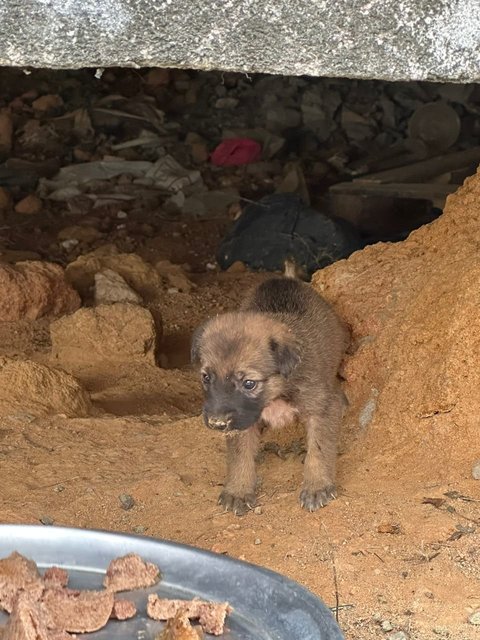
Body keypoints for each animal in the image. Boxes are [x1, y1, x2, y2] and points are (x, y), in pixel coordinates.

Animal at [191, 270, 348, 516]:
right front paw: (238, 490)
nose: (216, 423)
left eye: (248, 383)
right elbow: (239, 454)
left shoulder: (322, 407)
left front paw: (317, 486)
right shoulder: (242, 420)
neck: (276, 393)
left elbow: (319, 448)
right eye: (206, 377)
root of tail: (285, 279)